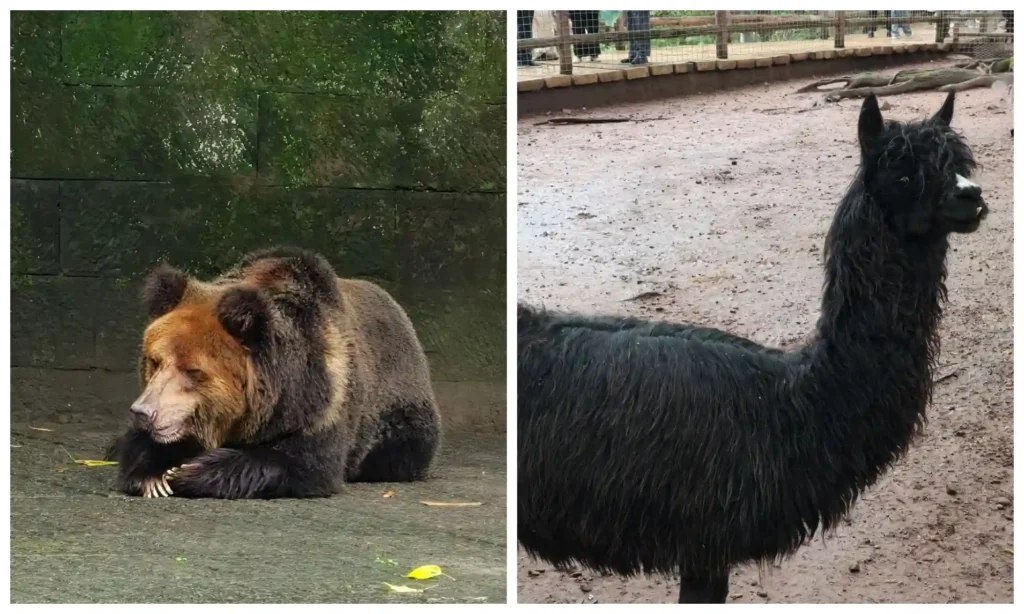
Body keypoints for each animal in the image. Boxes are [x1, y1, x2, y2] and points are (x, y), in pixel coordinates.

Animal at [107, 246, 442, 499]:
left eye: (193, 370)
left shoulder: (324, 396)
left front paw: (187, 472)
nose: (144, 411)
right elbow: (138, 446)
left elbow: (304, 461)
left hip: (399, 411)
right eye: (154, 361)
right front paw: (154, 476)